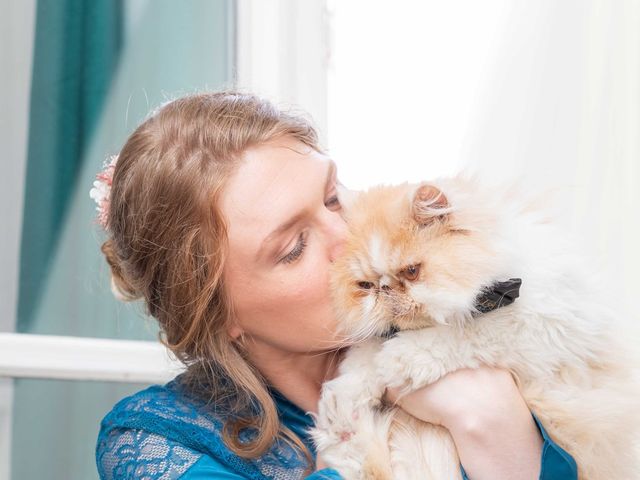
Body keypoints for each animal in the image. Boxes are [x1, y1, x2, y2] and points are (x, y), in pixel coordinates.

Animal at [308, 176, 636, 480]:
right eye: (365, 286)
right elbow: (362, 362)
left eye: (412, 272)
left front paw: (400, 359)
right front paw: (340, 400)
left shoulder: (543, 325)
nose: (385, 290)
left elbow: (463, 333)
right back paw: (342, 429)